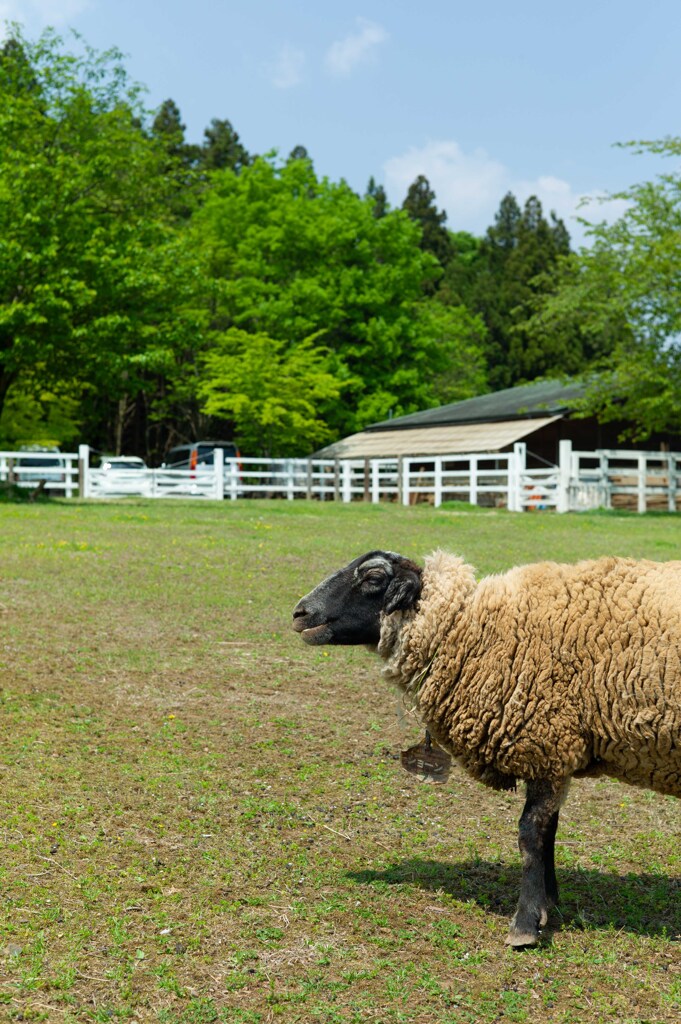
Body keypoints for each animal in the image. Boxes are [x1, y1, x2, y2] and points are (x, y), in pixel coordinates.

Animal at [292, 552, 679, 942]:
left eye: (373, 577)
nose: (299, 613)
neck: (475, 631)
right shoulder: (556, 750)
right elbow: (549, 831)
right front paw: (548, 903)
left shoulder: (546, 740)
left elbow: (531, 833)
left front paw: (525, 924)